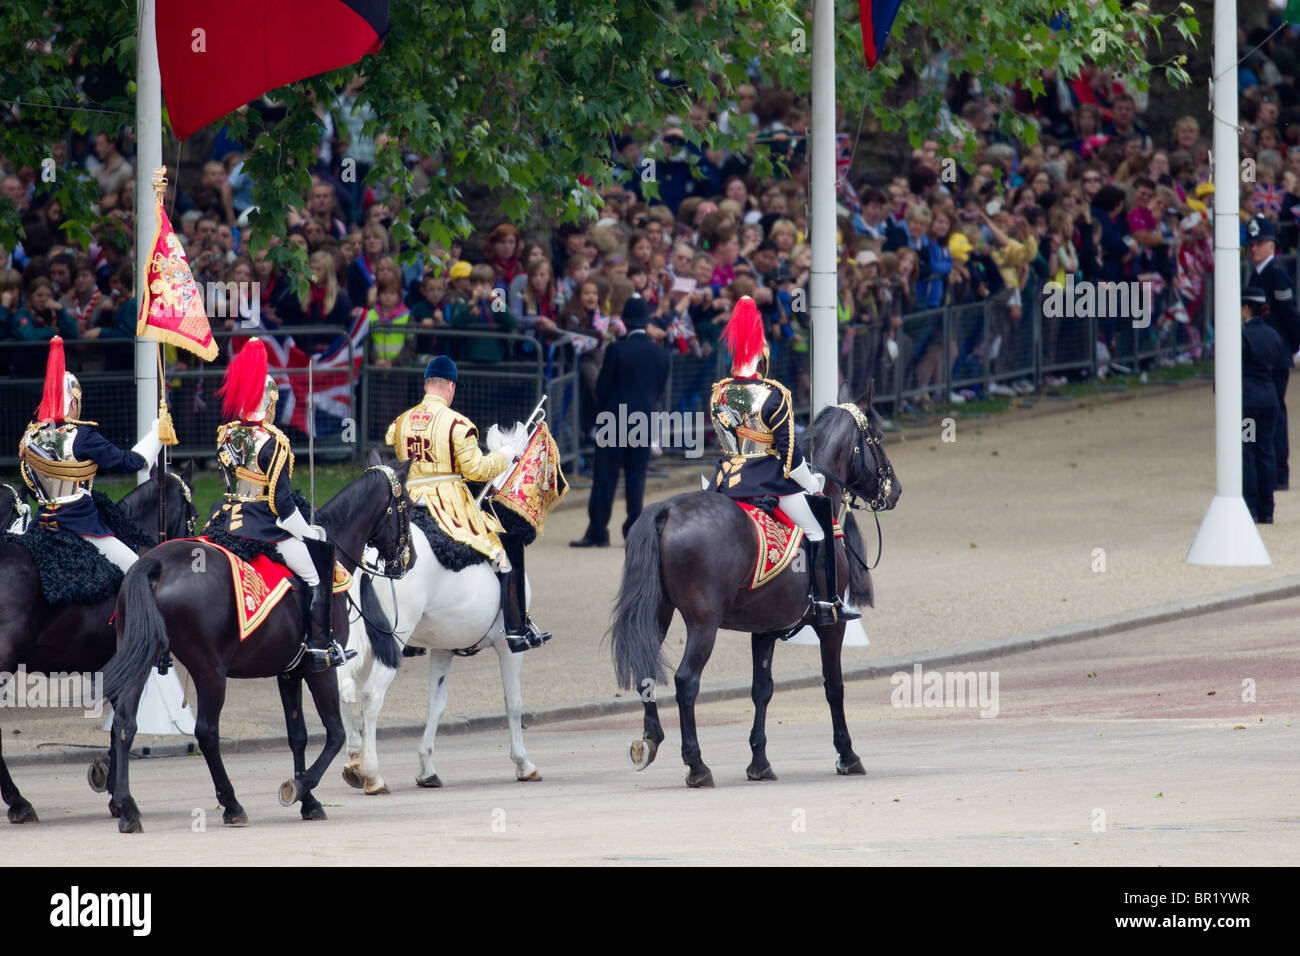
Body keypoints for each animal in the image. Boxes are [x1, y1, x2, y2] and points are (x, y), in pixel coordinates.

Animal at [99, 463, 413, 832]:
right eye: (407, 505)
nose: (408, 561)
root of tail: (157, 563)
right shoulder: (319, 668)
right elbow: (334, 733)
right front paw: (301, 787)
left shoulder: (289, 671)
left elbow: (298, 735)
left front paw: (309, 799)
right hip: (210, 671)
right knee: (206, 732)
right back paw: (231, 804)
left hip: (143, 659)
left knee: (124, 722)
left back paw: (127, 807)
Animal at [338, 431, 540, 790]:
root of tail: (368, 554)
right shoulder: (508, 647)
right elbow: (514, 704)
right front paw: (523, 763)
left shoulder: (443, 648)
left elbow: (436, 705)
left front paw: (426, 768)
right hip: (392, 642)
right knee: (371, 695)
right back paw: (372, 773)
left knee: (342, 686)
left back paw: (354, 762)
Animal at [611, 385, 899, 790]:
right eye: (877, 438)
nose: (895, 490)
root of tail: (666, 510)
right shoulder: (831, 625)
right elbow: (833, 685)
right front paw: (847, 754)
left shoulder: (764, 628)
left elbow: (761, 690)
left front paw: (759, 762)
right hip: (703, 623)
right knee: (686, 681)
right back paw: (697, 765)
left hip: (658, 613)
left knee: (646, 669)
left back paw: (651, 740)